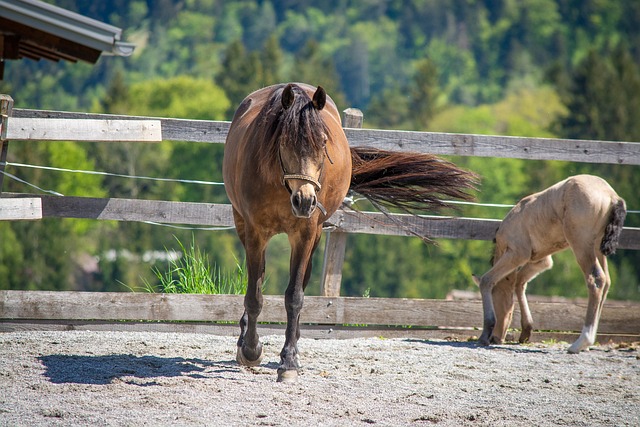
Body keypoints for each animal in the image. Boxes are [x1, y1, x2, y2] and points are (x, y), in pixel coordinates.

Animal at [222, 83, 478, 382]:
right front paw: (251, 350)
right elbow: (254, 296)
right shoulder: (255, 233)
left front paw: (289, 362)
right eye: (284, 142)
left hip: (315, 234)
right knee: (258, 279)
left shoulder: (305, 234)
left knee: (299, 284)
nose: (305, 201)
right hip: (244, 224)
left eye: (323, 143)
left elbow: (294, 297)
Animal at [472, 174, 628, 354]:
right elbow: (519, 283)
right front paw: (526, 332)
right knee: (607, 281)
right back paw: (587, 343)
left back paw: (581, 342)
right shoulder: (540, 261)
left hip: (581, 245)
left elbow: (487, 280)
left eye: (496, 298)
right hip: (597, 248)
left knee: (596, 280)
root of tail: (612, 196)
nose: (496, 338)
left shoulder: (517, 255)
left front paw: (484, 335)